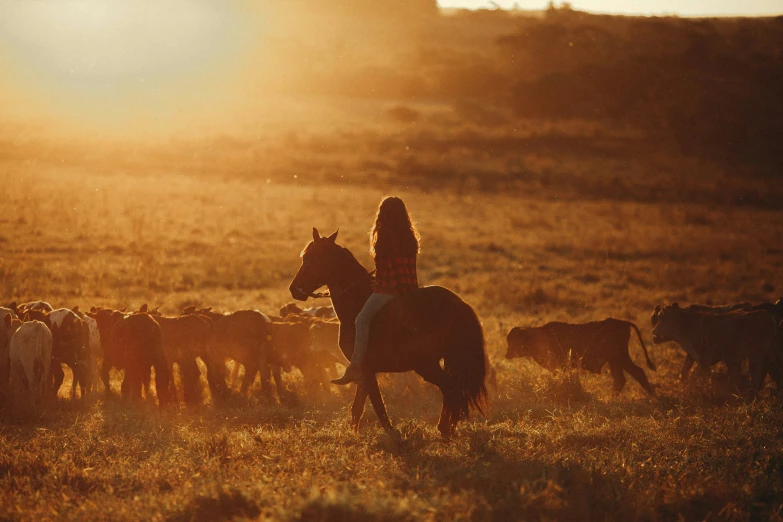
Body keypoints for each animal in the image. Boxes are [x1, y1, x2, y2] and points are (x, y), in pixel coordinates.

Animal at [290, 228, 486, 434]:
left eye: (309, 258)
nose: (294, 289)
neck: (356, 303)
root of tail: (459, 304)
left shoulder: (366, 370)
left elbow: (377, 405)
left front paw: (391, 434)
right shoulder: (364, 373)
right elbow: (358, 407)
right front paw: (354, 433)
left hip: (426, 365)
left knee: (450, 388)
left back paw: (444, 428)